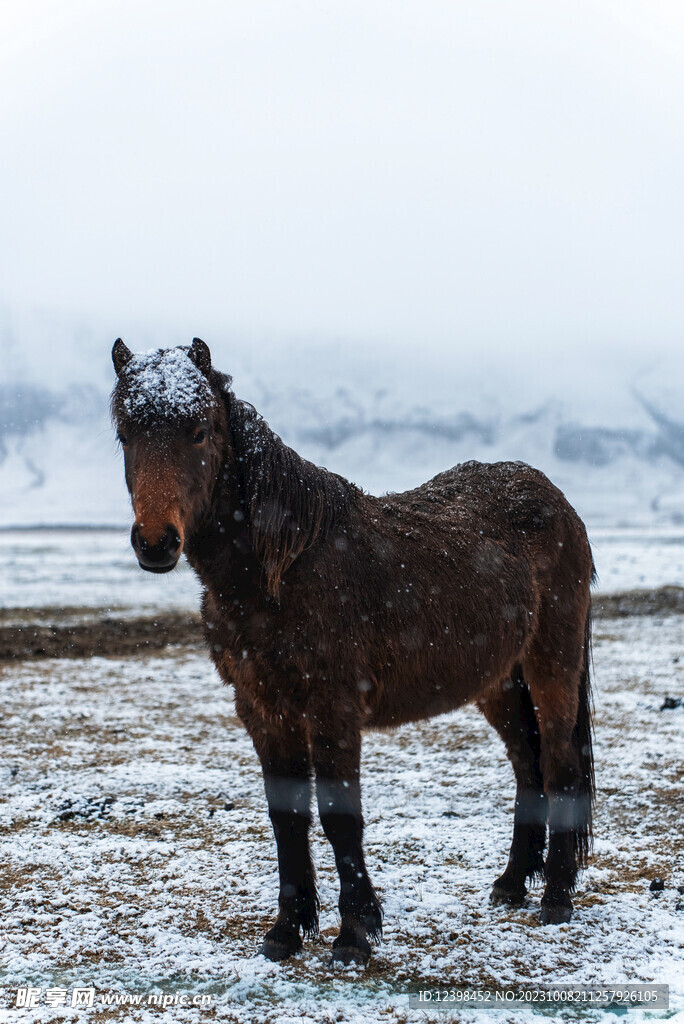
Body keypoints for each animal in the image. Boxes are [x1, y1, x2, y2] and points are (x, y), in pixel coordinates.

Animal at [108, 339, 593, 962]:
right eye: (125, 434)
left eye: (198, 431)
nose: (156, 543)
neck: (285, 567)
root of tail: (555, 500)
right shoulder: (262, 709)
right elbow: (286, 817)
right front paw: (287, 930)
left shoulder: (332, 707)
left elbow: (340, 816)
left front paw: (356, 933)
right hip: (499, 681)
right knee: (527, 764)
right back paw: (511, 884)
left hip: (552, 664)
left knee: (559, 765)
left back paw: (556, 898)